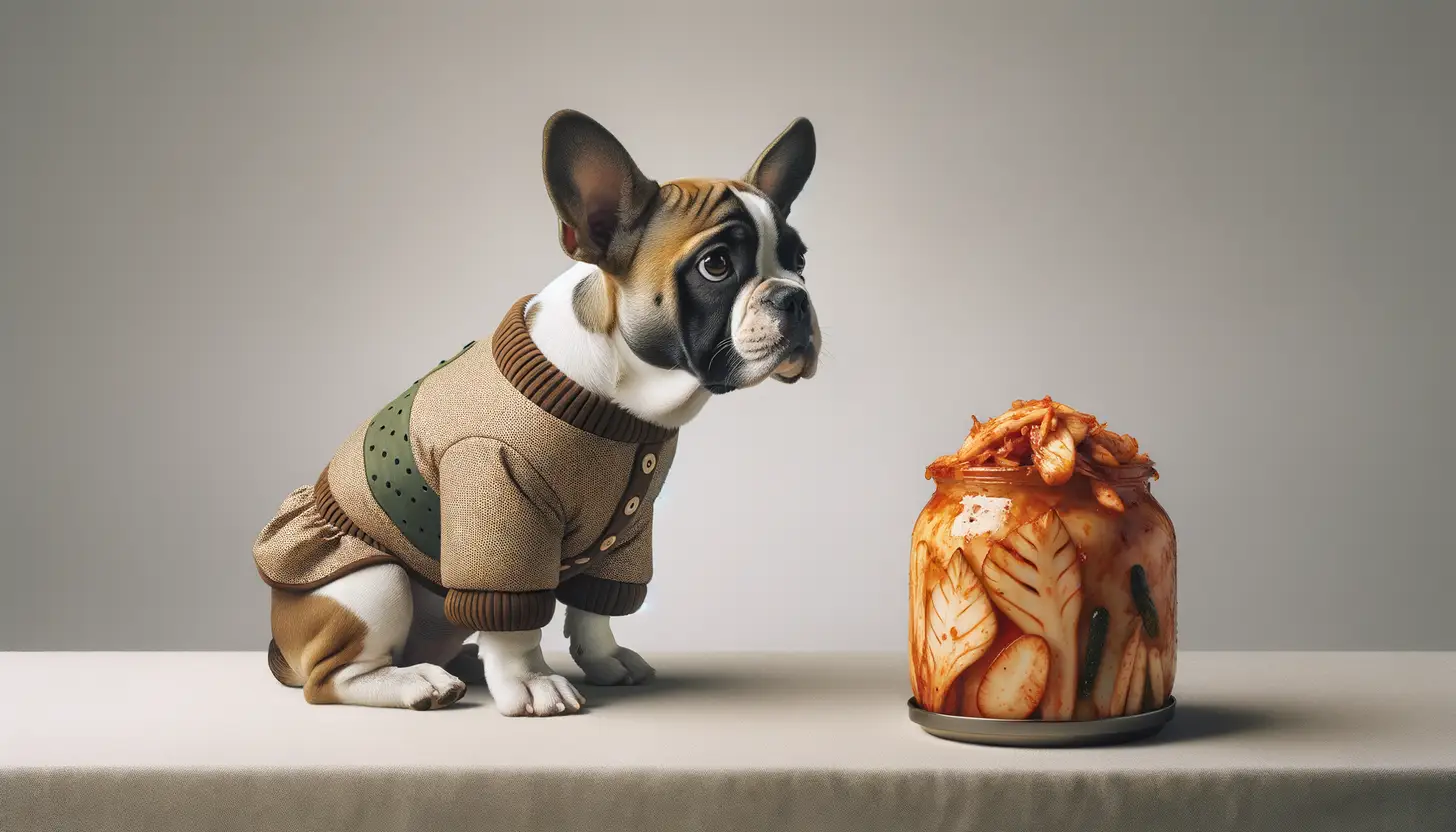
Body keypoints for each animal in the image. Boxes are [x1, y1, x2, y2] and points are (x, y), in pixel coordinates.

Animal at [250, 110, 821, 716]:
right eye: (715, 266)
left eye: (800, 261)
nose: (794, 297)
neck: (623, 398)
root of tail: (281, 648)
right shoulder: (501, 510)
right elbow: (516, 619)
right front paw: (530, 681)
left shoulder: (628, 530)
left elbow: (595, 608)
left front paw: (605, 660)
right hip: (374, 584)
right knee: (331, 677)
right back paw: (417, 683)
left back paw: (460, 663)